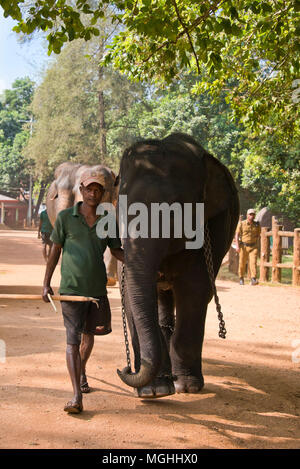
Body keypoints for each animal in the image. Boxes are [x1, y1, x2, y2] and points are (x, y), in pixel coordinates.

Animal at [115, 133, 239, 396]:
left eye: (173, 211)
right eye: (120, 207)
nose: (125, 369)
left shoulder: (214, 225)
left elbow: (194, 288)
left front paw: (186, 386)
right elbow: (131, 292)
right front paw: (155, 391)